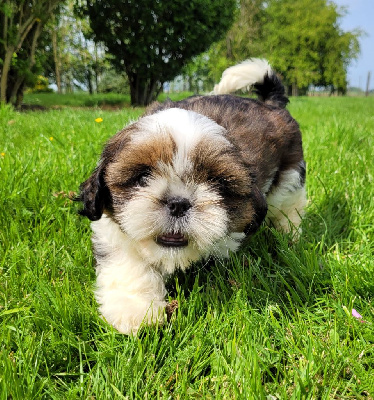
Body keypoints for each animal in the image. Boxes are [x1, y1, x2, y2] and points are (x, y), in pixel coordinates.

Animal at [78, 59, 306, 334]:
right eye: (142, 177)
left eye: (215, 183)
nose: (178, 203)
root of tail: (271, 103)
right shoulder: (108, 226)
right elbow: (126, 260)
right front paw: (135, 310)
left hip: (289, 175)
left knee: (288, 205)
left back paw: (288, 235)